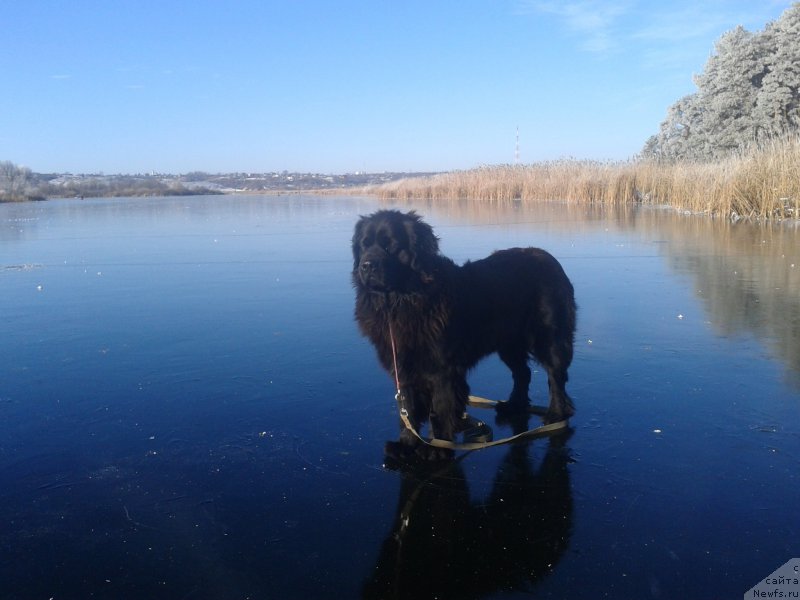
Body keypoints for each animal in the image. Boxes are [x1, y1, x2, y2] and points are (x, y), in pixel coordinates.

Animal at [352, 209, 576, 462]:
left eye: (390, 246)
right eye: (364, 245)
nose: (366, 266)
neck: (401, 302)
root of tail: (550, 259)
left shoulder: (443, 370)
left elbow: (440, 408)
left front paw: (436, 447)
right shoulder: (404, 367)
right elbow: (407, 409)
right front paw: (406, 445)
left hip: (548, 336)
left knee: (556, 376)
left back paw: (556, 414)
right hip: (509, 342)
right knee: (523, 373)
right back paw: (513, 405)